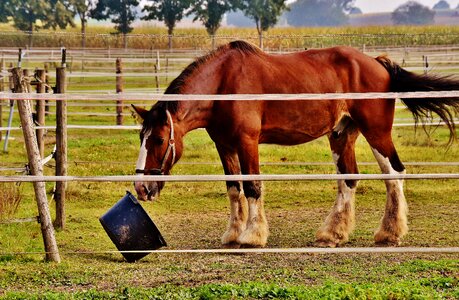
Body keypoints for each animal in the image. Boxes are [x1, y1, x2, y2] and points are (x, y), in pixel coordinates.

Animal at [131, 41, 458, 248]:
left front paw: (253, 236)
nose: (141, 188)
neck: (224, 83)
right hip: (342, 134)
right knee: (349, 179)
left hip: (377, 132)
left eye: (159, 139)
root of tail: (378, 64)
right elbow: (234, 189)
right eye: (140, 138)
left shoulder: (247, 142)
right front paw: (233, 233)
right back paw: (333, 234)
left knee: (394, 174)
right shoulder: (225, 145)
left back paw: (390, 233)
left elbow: (252, 187)